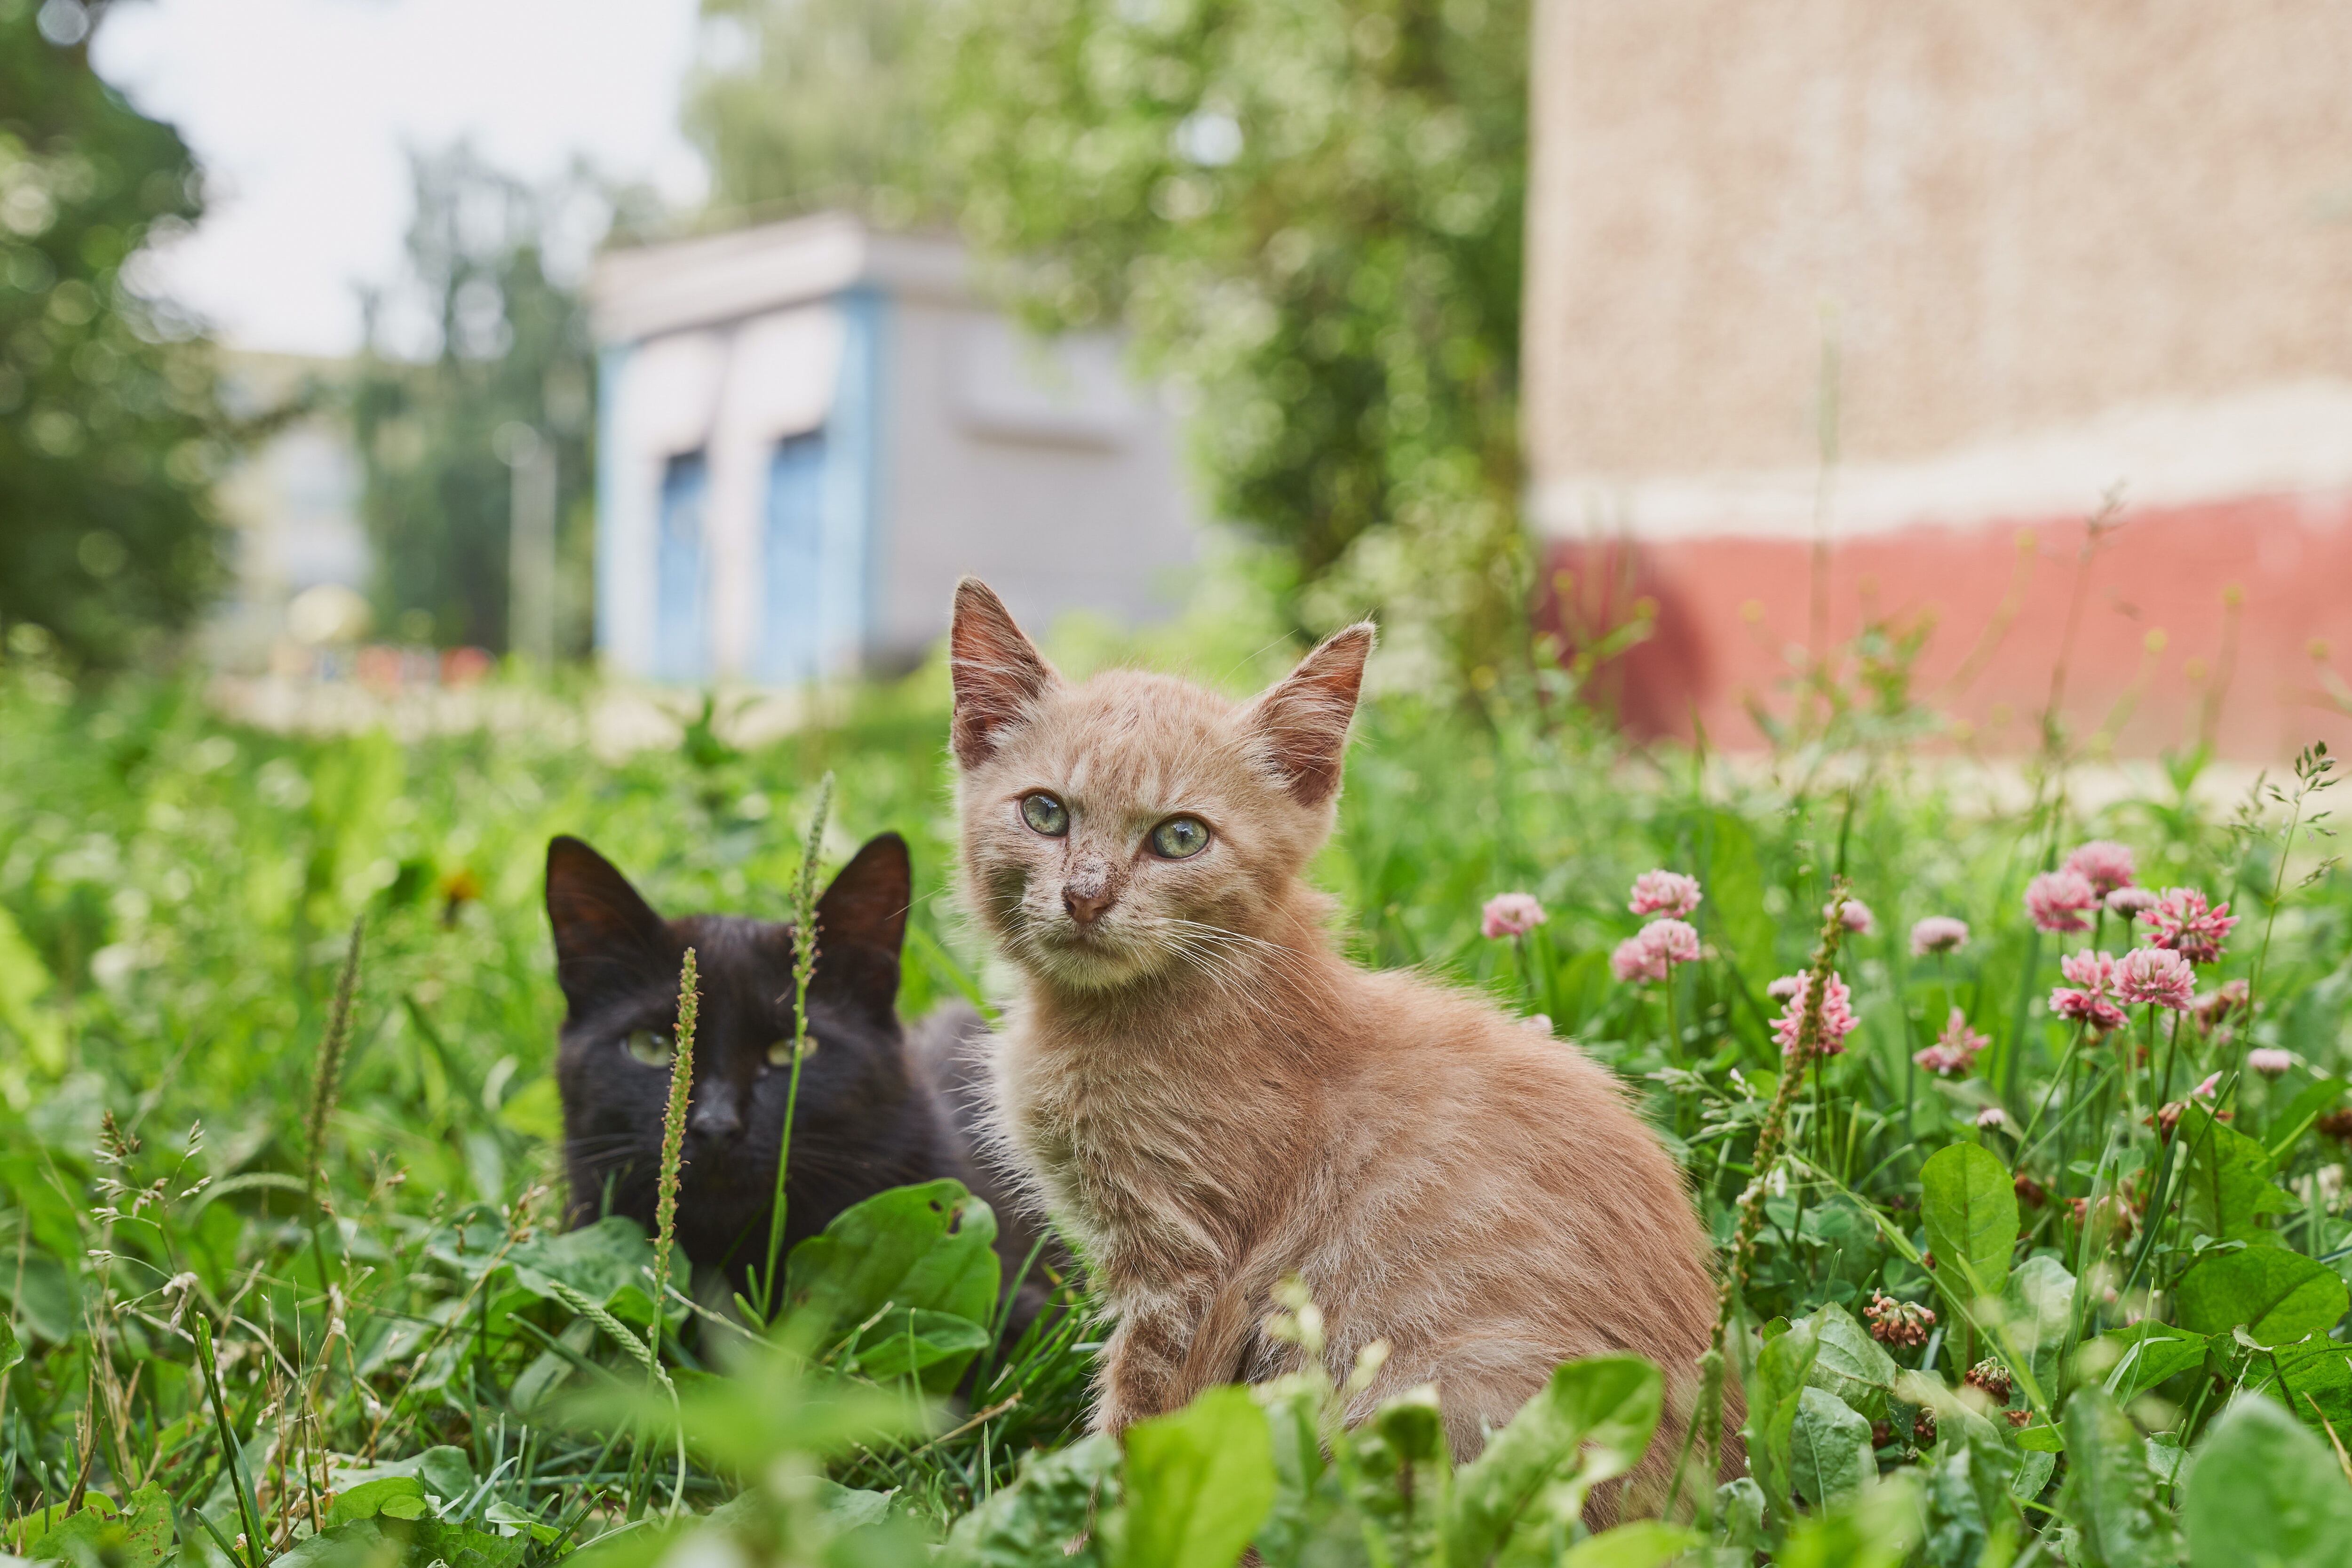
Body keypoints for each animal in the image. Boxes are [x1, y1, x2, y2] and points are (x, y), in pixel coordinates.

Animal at [941, 583, 1731, 1504]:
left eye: (1180, 836)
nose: (1085, 895)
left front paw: (1093, 1521)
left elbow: (1142, 1420)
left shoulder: (1192, 1274)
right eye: (1045, 812)